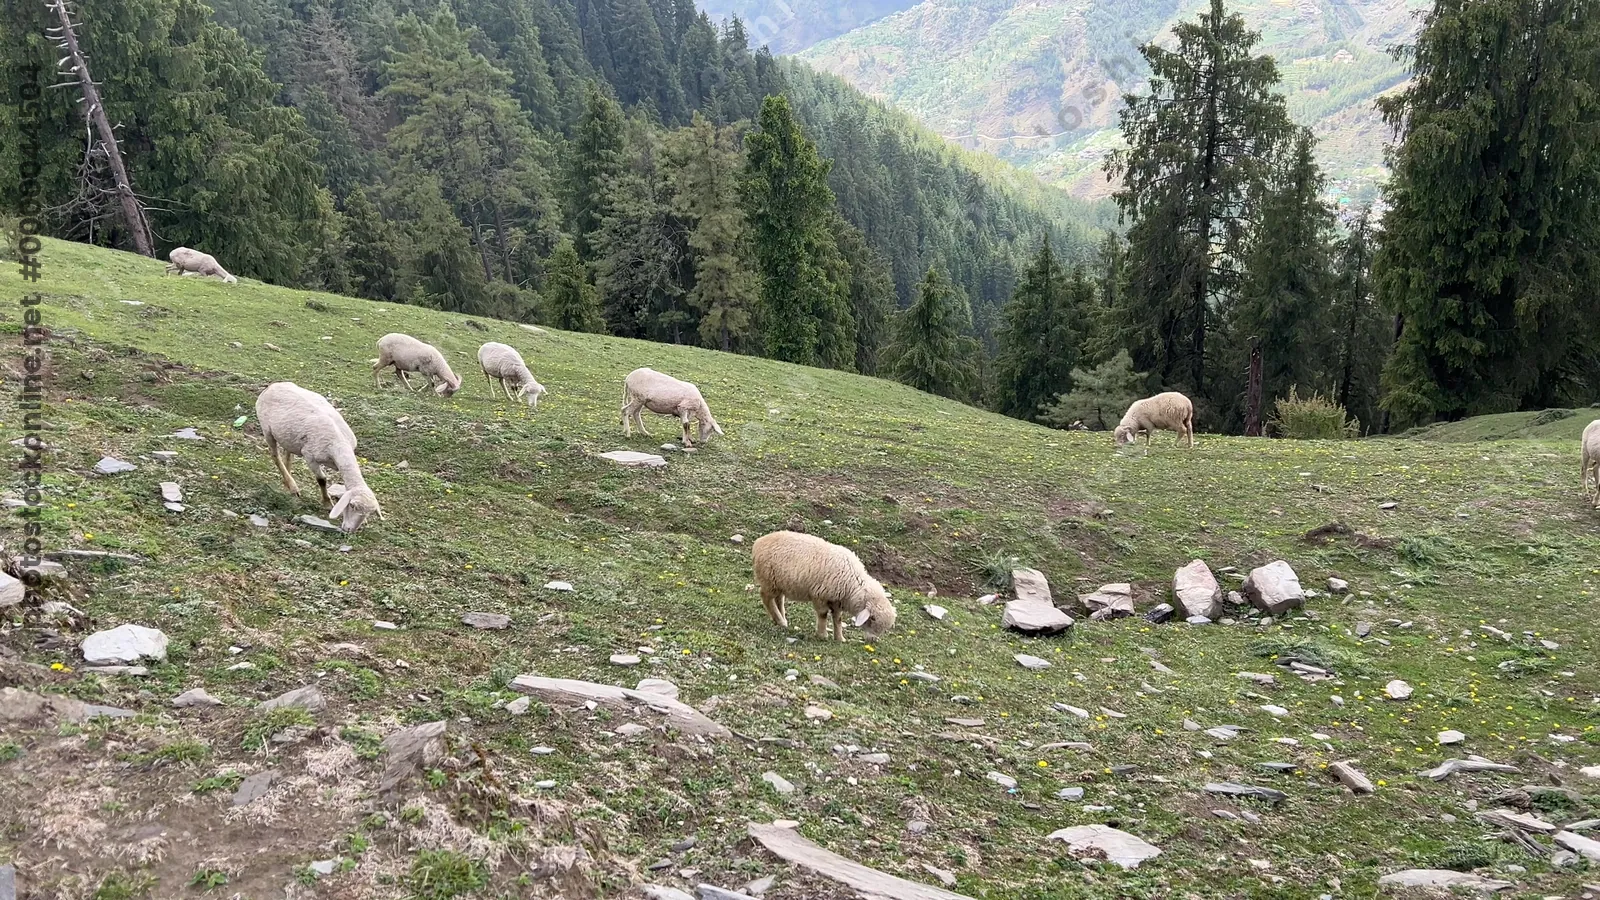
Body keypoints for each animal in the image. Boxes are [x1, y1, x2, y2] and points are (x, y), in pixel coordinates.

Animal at [255, 382, 383, 533]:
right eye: (352, 505)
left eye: (368, 513)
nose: (349, 530)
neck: (339, 444)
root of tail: (273, 385)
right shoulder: (309, 455)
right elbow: (322, 479)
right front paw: (327, 503)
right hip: (267, 430)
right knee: (275, 455)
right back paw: (293, 487)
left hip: (288, 437)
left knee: (288, 455)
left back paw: (288, 482)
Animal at [752, 531, 897, 642]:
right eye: (872, 618)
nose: (873, 640)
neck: (852, 583)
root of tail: (758, 542)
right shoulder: (820, 595)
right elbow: (823, 615)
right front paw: (822, 635)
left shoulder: (837, 600)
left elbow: (838, 619)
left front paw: (840, 638)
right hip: (769, 579)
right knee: (765, 597)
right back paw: (780, 620)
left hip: (780, 582)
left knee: (779, 599)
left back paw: (781, 620)